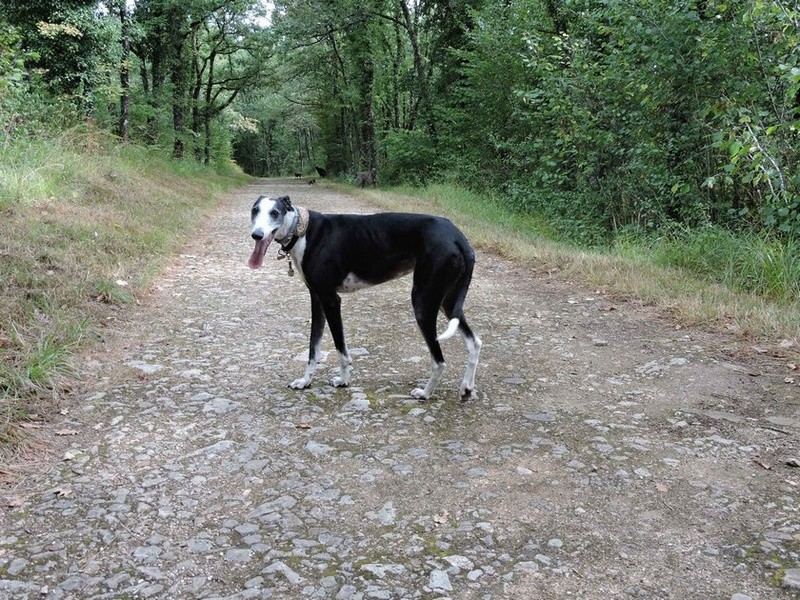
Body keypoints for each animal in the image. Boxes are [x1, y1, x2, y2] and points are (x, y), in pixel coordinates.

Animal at [247, 196, 482, 398]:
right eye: (255, 210)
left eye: (275, 212)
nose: (256, 235)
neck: (302, 230)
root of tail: (458, 237)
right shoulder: (317, 299)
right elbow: (314, 348)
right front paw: (305, 381)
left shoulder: (331, 300)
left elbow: (340, 347)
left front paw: (343, 380)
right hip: (448, 302)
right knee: (474, 342)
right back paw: (466, 388)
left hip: (423, 302)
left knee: (439, 360)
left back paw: (425, 393)